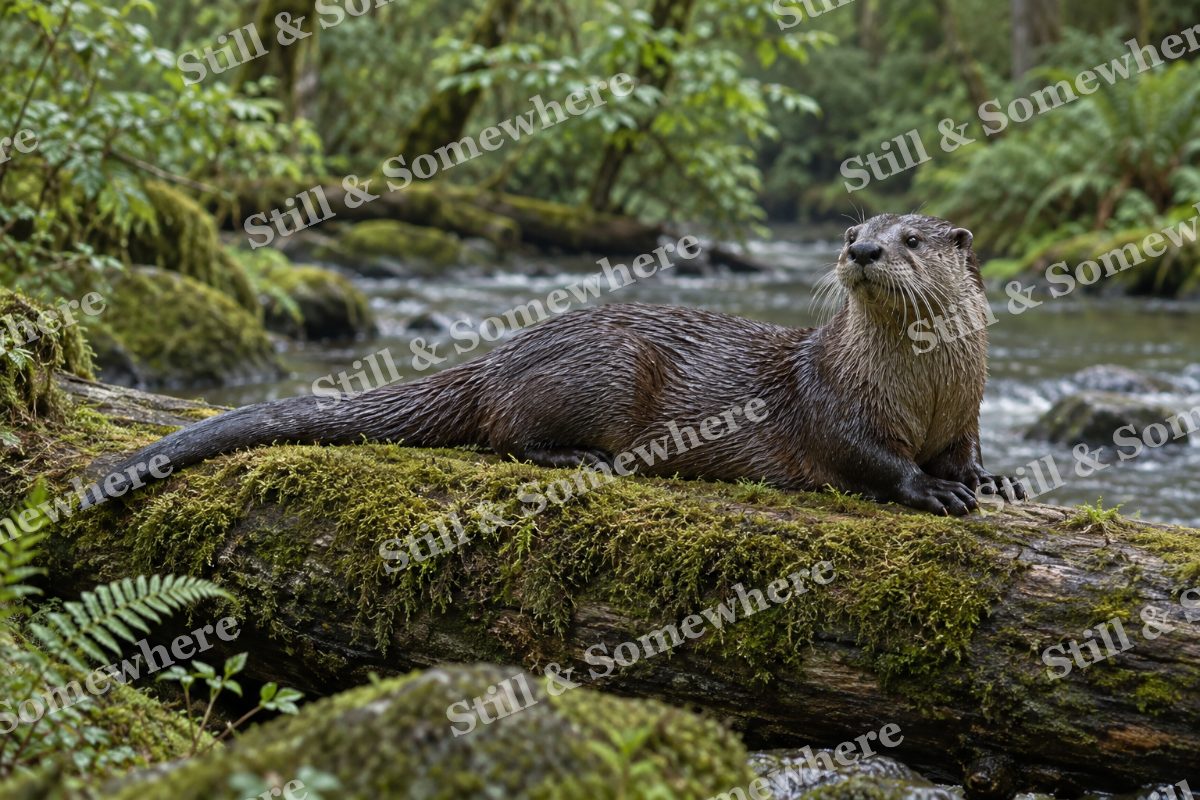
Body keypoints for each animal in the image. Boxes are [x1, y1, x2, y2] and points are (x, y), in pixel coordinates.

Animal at [87, 213, 1024, 516]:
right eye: (853, 229)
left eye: (911, 238)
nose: (862, 250)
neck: (926, 392)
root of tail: (500, 355)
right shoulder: (835, 402)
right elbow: (868, 460)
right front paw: (933, 490)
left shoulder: (969, 408)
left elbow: (972, 448)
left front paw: (995, 478)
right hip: (600, 371)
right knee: (505, 435)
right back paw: (581, 457)